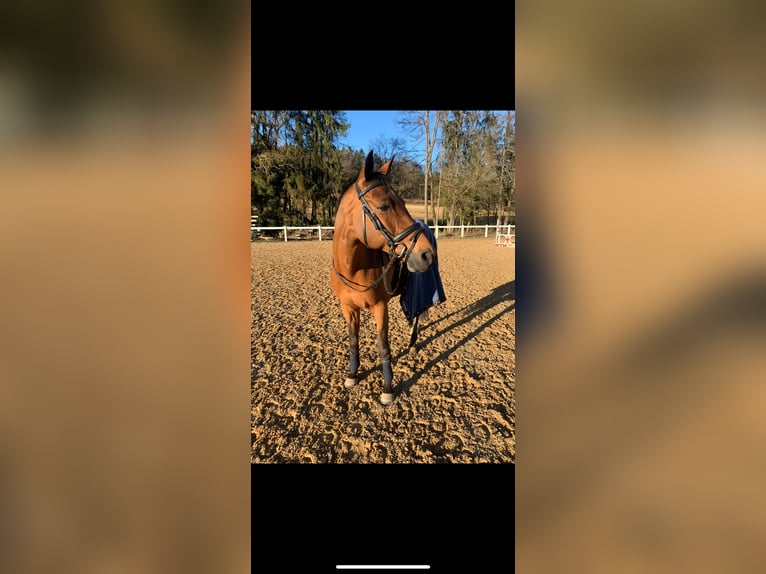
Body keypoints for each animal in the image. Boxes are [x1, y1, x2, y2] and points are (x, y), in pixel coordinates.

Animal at [332, 151, 438, 408]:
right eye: (384, 206)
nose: (427, 254)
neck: (353, 268)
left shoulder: (380, 307)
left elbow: (383, 347)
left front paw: (387, 388)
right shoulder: (348, 308)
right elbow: (353, 341)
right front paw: (352, 375)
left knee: (417, 315)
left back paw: (412, 345)